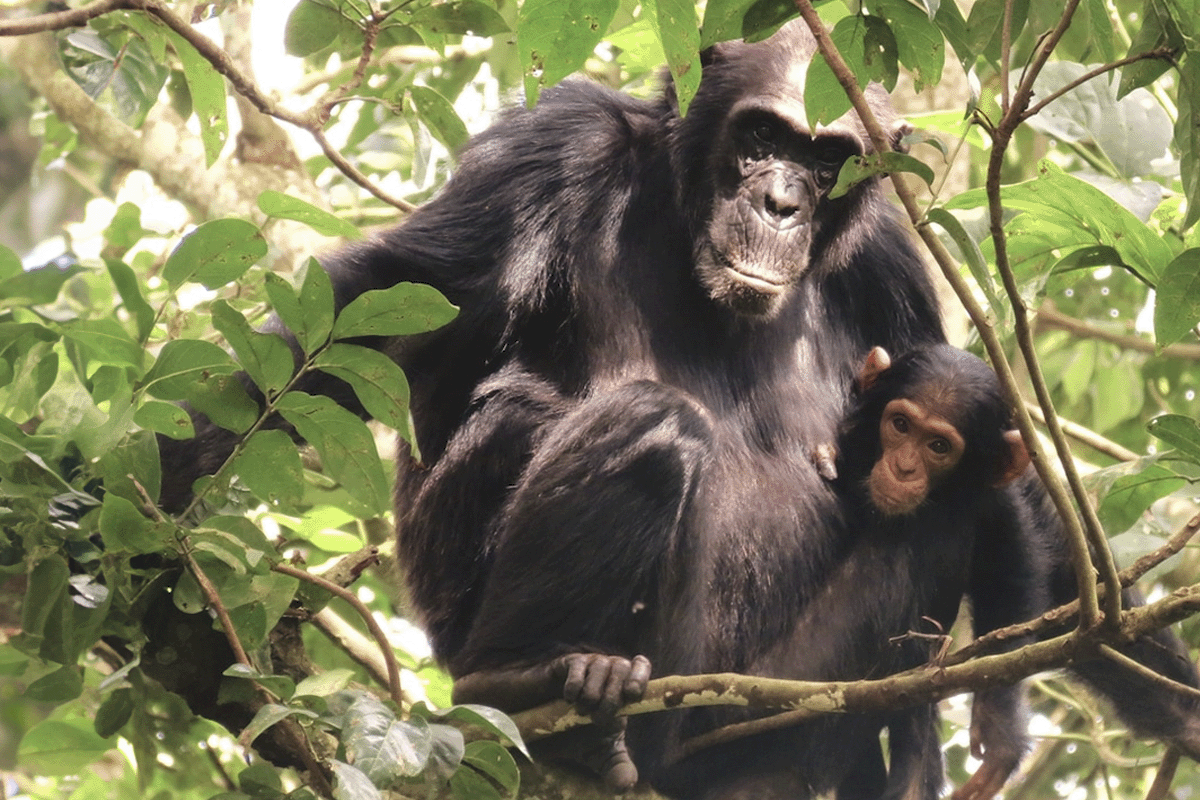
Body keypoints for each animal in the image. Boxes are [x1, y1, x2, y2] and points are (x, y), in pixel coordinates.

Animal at [159, 18, 1200, 800]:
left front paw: (1164, 706)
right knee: (634, 424)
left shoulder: (892, 259)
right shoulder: (549, 146)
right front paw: (150, 537)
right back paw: (531, 681)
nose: (782, 202)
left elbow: (997, 476)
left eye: (828, 161)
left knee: (935, 530)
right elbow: (377, 301)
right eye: (764, 140)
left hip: (767, 707)